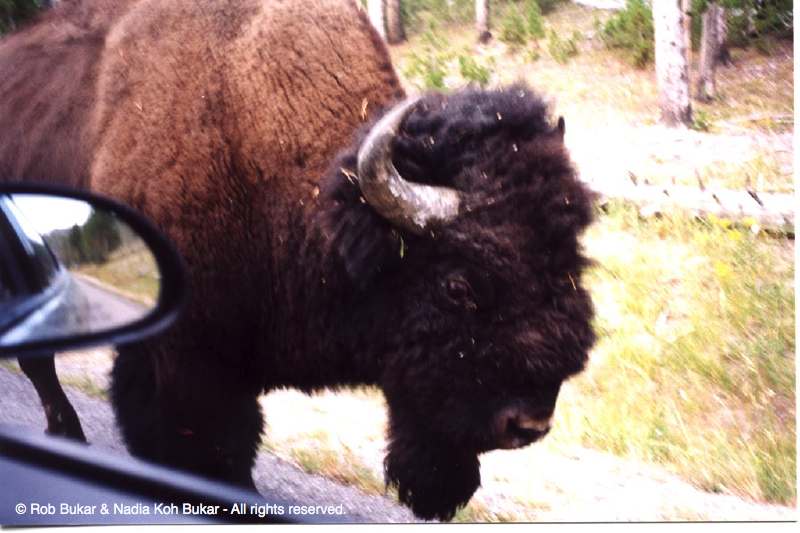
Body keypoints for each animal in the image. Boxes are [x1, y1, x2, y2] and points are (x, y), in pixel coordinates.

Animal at [0, 0, 595, 521]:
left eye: (573, 263)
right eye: (457, 285)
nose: (528, 424)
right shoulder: (185, 362)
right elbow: (206, 447)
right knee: (40, 364)